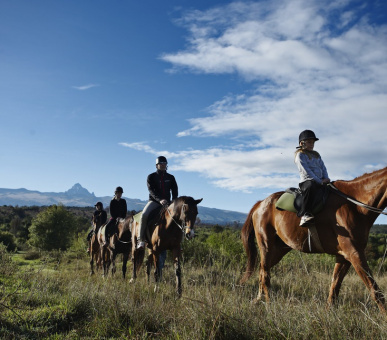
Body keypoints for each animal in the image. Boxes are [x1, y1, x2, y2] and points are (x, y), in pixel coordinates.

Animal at [242, 167, 387, 314]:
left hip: (279, 250)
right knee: (265, 274)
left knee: (262, 270)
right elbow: (374, 289)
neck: (354, 205)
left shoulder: (344, 256)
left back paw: (258, 300)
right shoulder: (354, 253)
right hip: (266, 246)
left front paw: (329, 311)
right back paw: (269, 305)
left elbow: (335, 285)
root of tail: (260, 204)